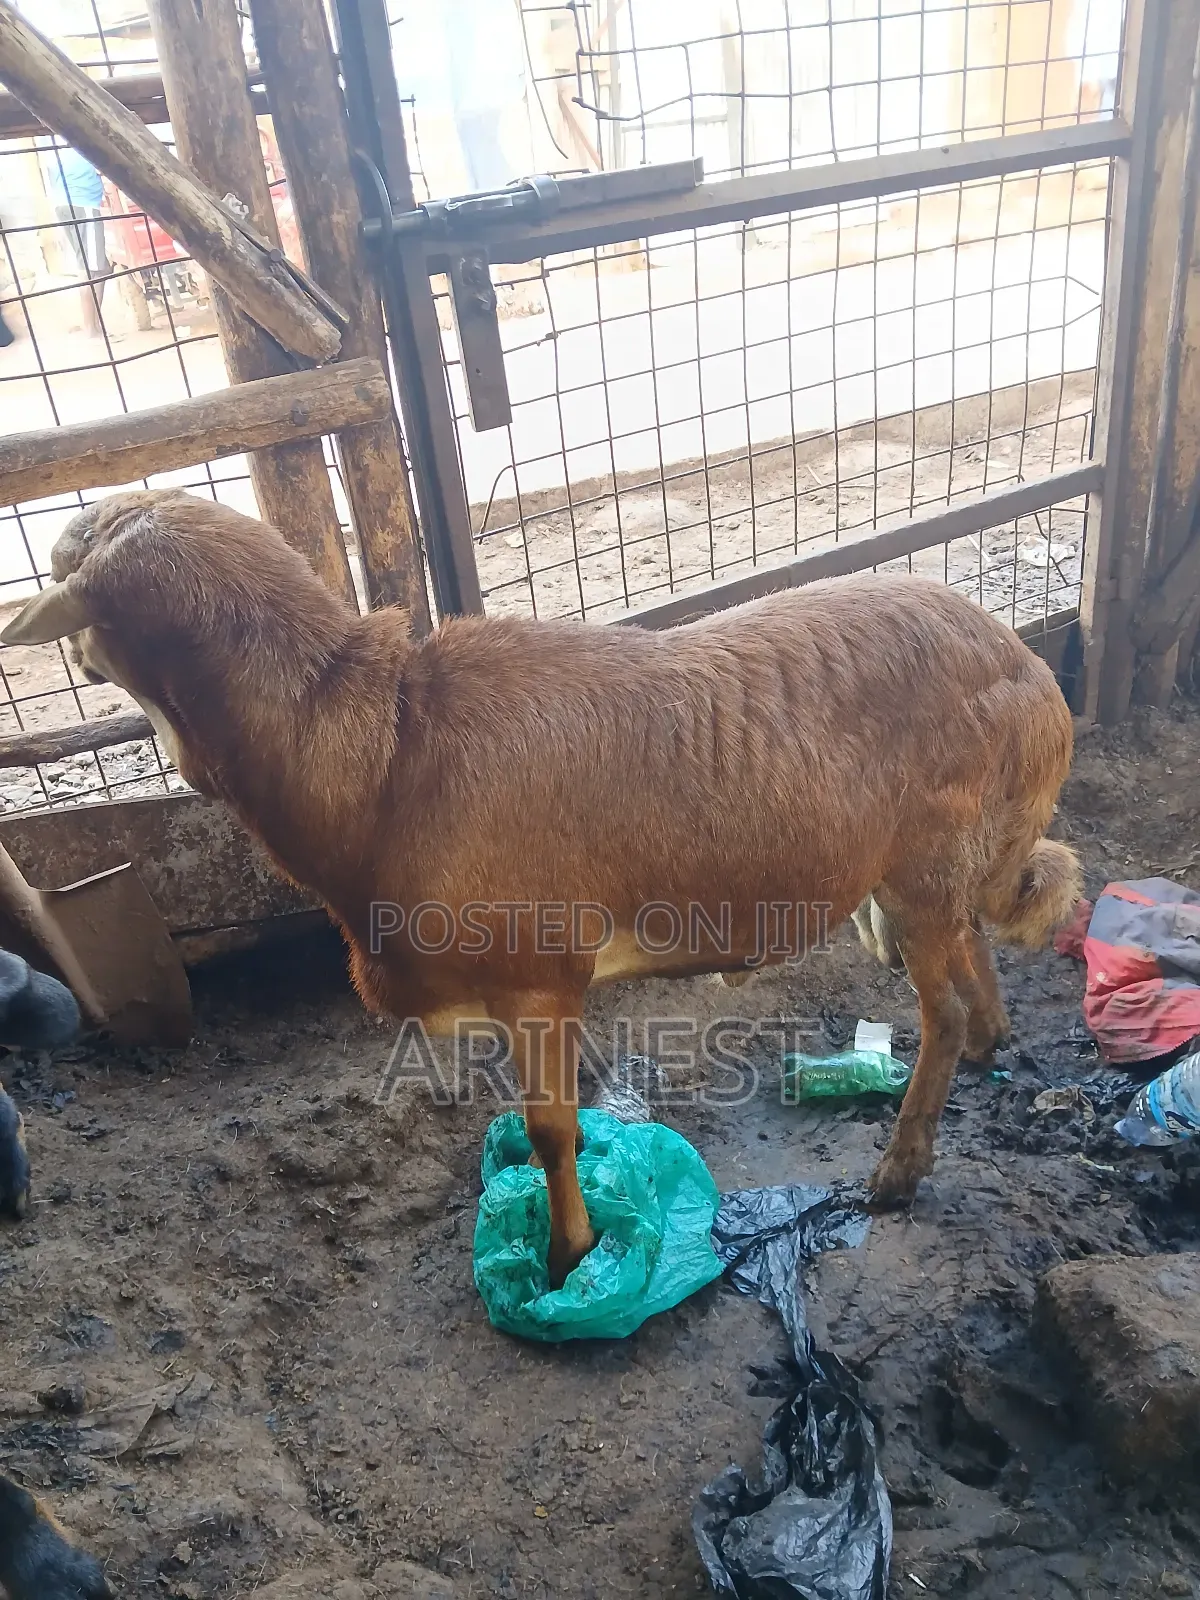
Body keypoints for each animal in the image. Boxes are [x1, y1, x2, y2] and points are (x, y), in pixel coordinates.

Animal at [1, 488, 1082, 1287]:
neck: (377, 755)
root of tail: (1029, 670)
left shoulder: (535, 977)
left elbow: (553, 1132)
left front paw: (570, 1255)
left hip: (924, 858)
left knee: (939, 1003)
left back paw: (901, 1168)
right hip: (933, 869)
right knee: (973, 945)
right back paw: (992, 1041)